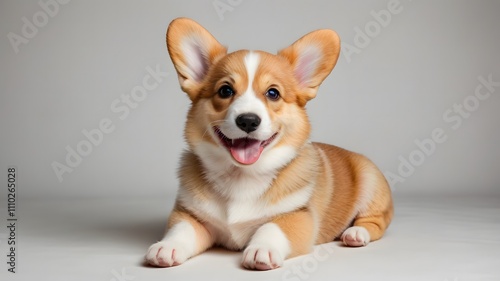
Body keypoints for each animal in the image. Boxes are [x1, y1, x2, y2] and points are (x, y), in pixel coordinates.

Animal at [146, 17, 392, 270]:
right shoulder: (190, 214)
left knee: (376, 222)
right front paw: (167, 247)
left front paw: (262, 249)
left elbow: (272, 227)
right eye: (225, 90)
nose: (248, 120)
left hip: (371, 183)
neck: (242, 176)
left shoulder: (298, 216)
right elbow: (181, 229)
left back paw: (356, 234)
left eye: (273, 93)